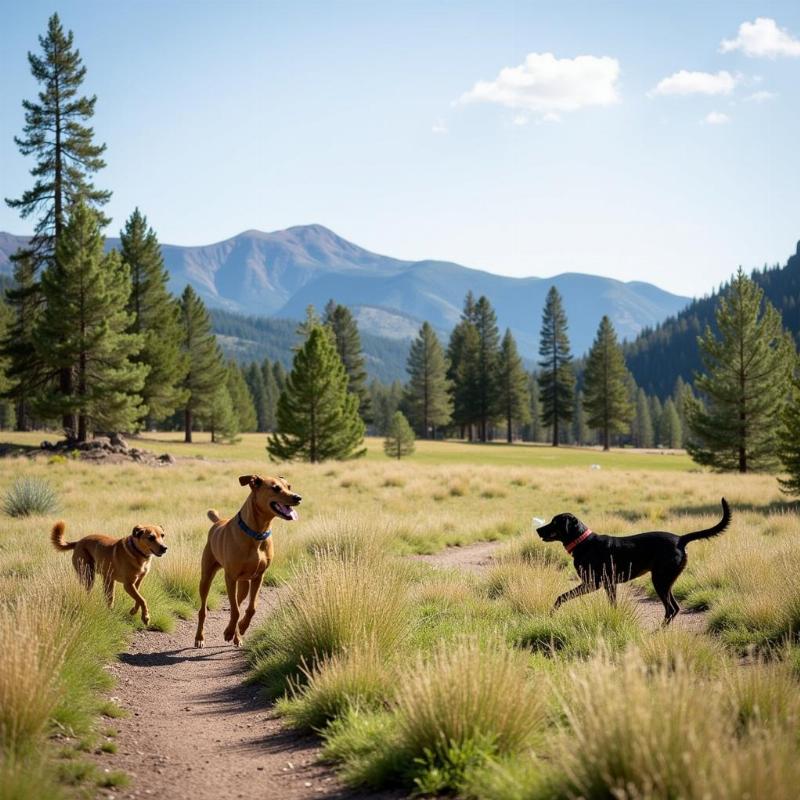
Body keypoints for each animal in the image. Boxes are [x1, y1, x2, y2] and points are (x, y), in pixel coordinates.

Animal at [195, 472, 304, 648]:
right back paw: (200, 638)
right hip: (207, 577)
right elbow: (235, 610)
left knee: (238, 603)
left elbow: (251, 608)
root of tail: (218, 522)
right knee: (203, 610)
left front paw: (241, 628)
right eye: (275, 488)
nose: (298, 497)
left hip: (244, 584)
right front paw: (230, 631)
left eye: (289, 486)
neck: (257, 532)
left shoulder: (259, 576)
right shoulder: (230, 577)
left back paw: (236, 635)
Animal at [536, 500, 732, 624]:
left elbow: (561, 597)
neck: (583, 542)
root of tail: (680, 539)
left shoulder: (593, 583)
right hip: (666, 581)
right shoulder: (609, 584)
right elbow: (612, 603)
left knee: (670, 609)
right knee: (675, 608)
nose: (537, 529)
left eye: (554, 522)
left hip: (660, 580)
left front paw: (552, 613)